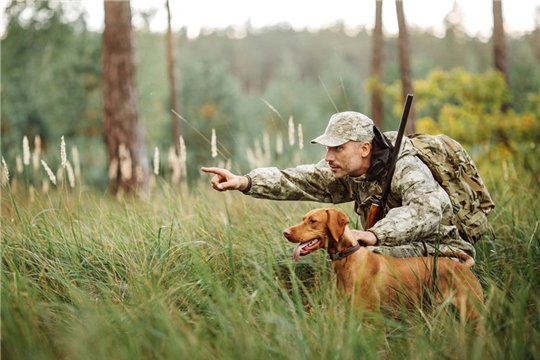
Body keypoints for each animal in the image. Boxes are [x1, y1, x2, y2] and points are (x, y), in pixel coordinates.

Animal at [282, 208, 486, 324]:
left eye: (313, 221)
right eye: (303, 218)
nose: (285, 232)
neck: (349, 259)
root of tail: (464, 267)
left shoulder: (372, 318)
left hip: (473, 313)